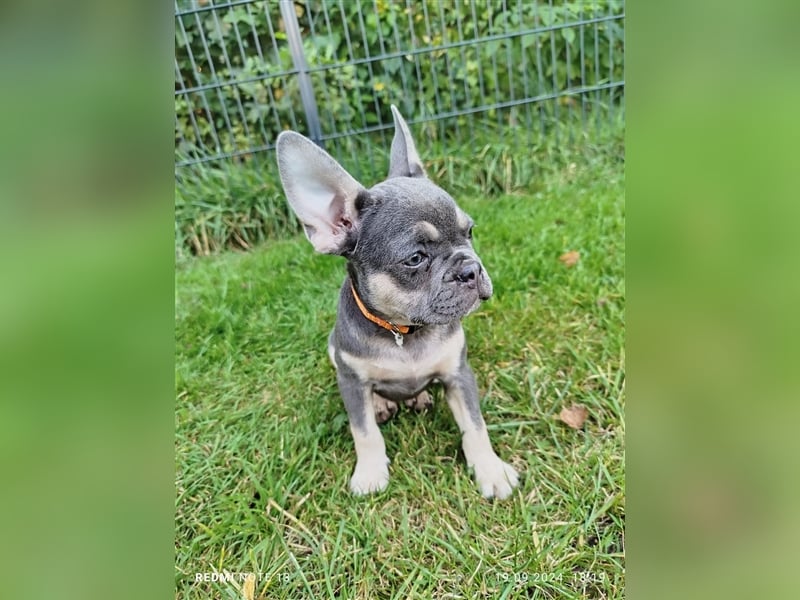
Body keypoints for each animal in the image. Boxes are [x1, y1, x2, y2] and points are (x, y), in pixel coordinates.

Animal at [276, 105, 520, 500]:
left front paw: (490, 469)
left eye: (469, 232)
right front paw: (370, 473)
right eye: (415, 259)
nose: (471, 269)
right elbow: (364, 432)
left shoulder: (458, 374)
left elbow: (475, 426)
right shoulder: (351, 381)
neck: (403, 329)